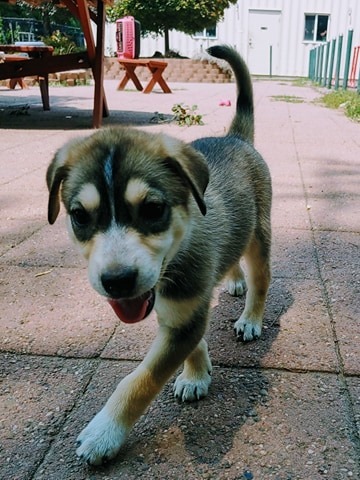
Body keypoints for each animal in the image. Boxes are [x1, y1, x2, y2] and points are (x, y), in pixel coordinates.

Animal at [46, 46, 272, 464]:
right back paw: (233, 281)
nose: (117, 282)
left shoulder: (183, 313)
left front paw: (104, 432)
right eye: (80, 216)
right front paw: (197, 375)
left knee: (262, 281)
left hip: (260, 235)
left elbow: (140, 380)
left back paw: (251, 318)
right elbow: (190, 343)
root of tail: (235, 138)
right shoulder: (176, 312)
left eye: (152, 210)